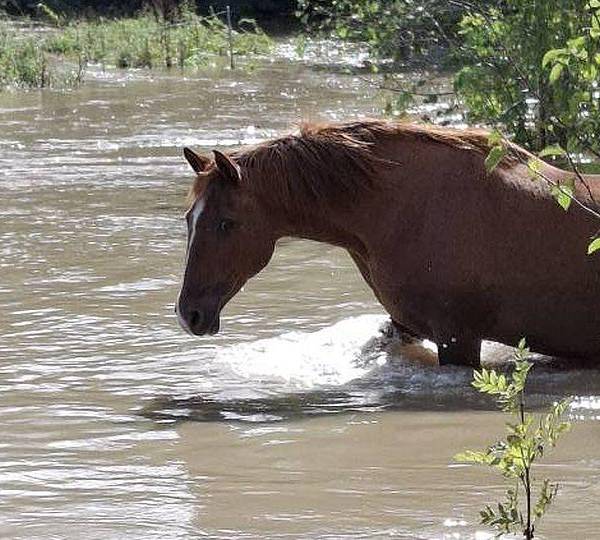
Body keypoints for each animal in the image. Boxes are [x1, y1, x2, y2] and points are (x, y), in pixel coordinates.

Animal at [176, 119, 600, 368]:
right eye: (189, 218)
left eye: (226, 223)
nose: (188, 313)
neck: (405, 209)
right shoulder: (404, 325)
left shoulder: (458, 338)